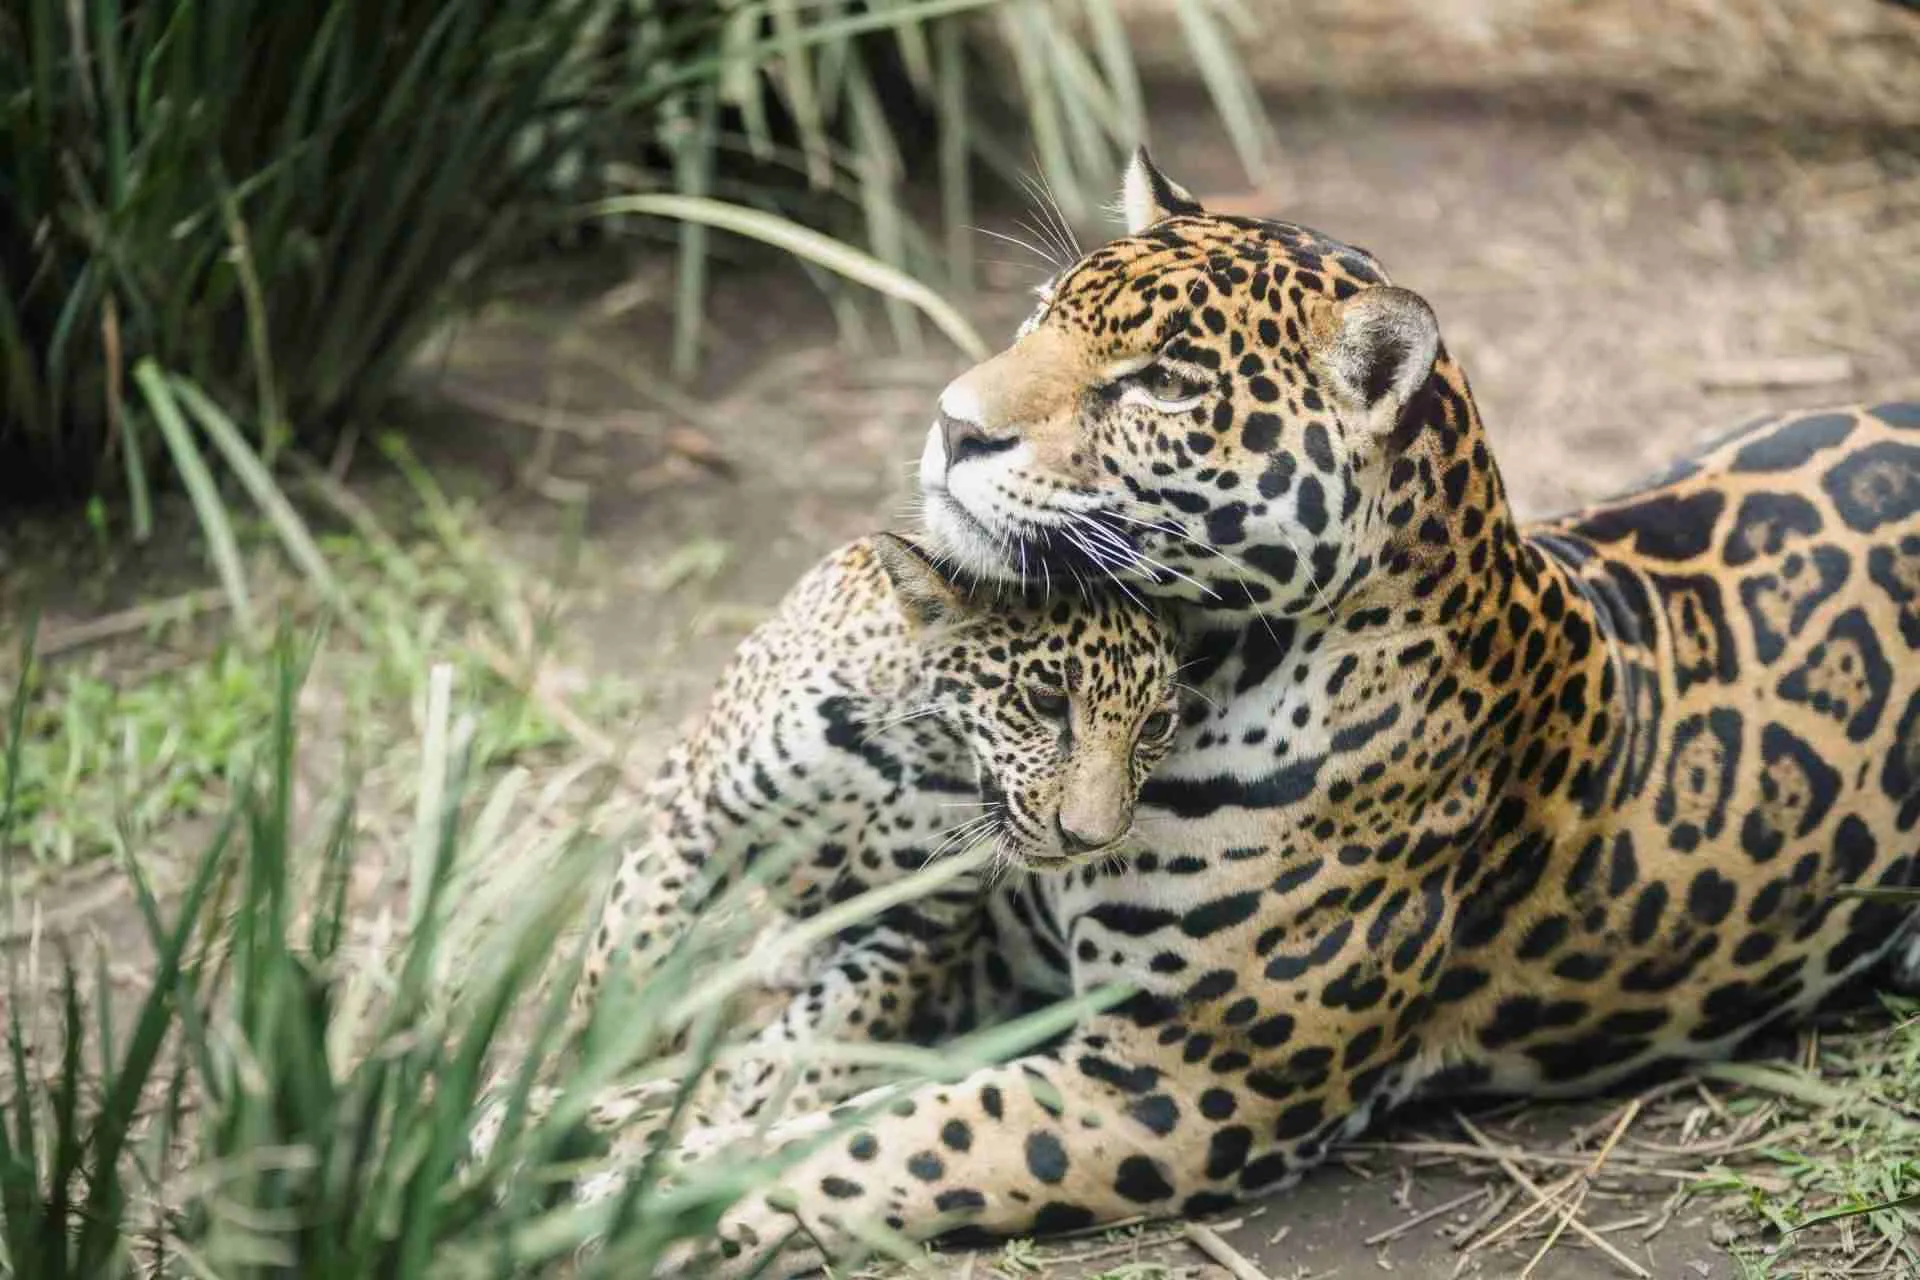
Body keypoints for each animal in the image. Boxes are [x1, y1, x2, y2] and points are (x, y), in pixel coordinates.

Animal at [584, 151, 1920, 1279]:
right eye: (1039, 311)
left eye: (1162, 382)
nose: (953, 424)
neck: (1218, 667)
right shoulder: (991, 940)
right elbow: (784, 1053)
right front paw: (600, 1107)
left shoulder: (1176, 1082)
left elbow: (872, 1139)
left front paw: (623, 1198)